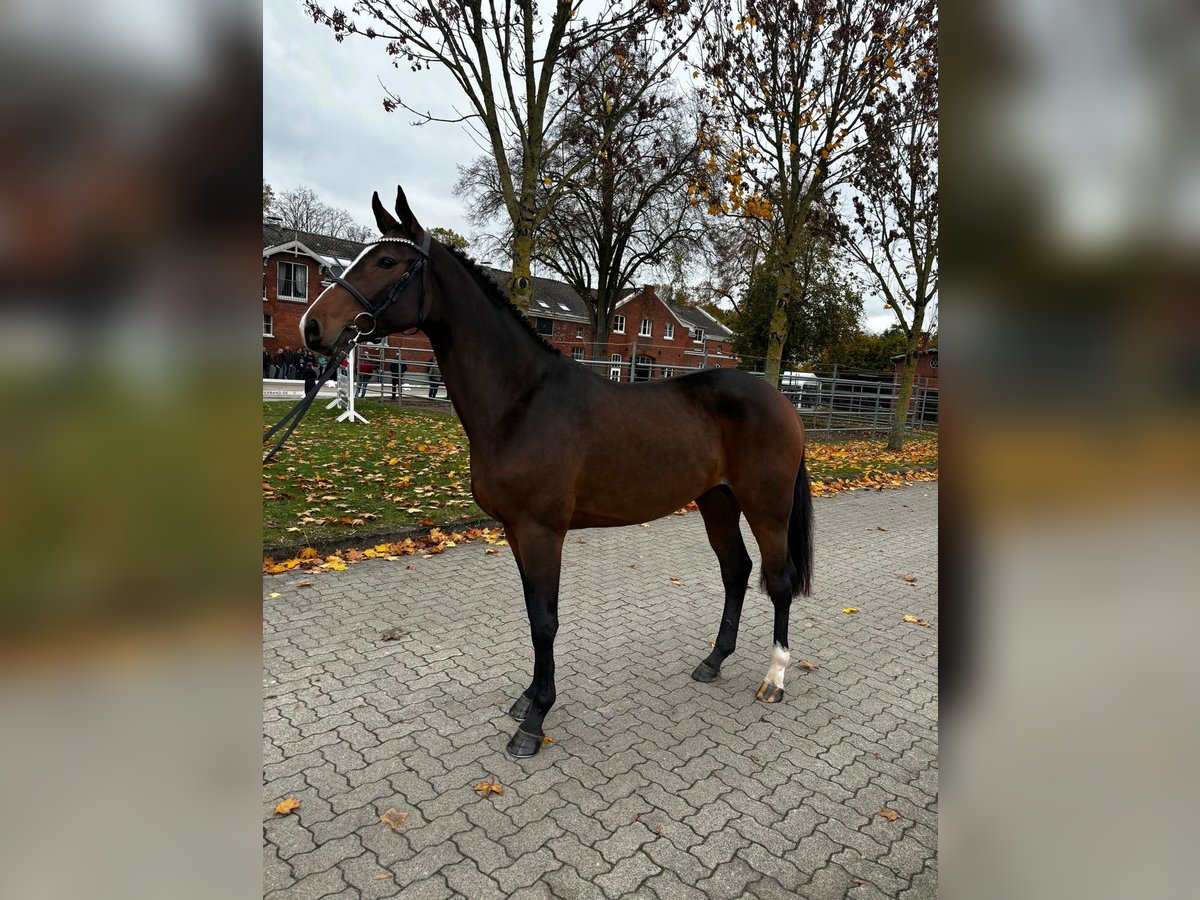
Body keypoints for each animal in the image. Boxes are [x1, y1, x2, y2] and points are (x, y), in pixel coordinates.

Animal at [300, 188, 816, 763]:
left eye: (388, 261)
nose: (312, 327)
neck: (522, 400)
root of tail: (782, 401)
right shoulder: (516, 531)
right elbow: (533, 614)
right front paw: (528, 699)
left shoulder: (542, 531)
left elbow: (545, 621)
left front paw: (535, 721)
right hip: (717, 501)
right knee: (736, 572)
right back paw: (713, 661)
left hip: (766, 507)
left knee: (778, 580)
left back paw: (775, 678)